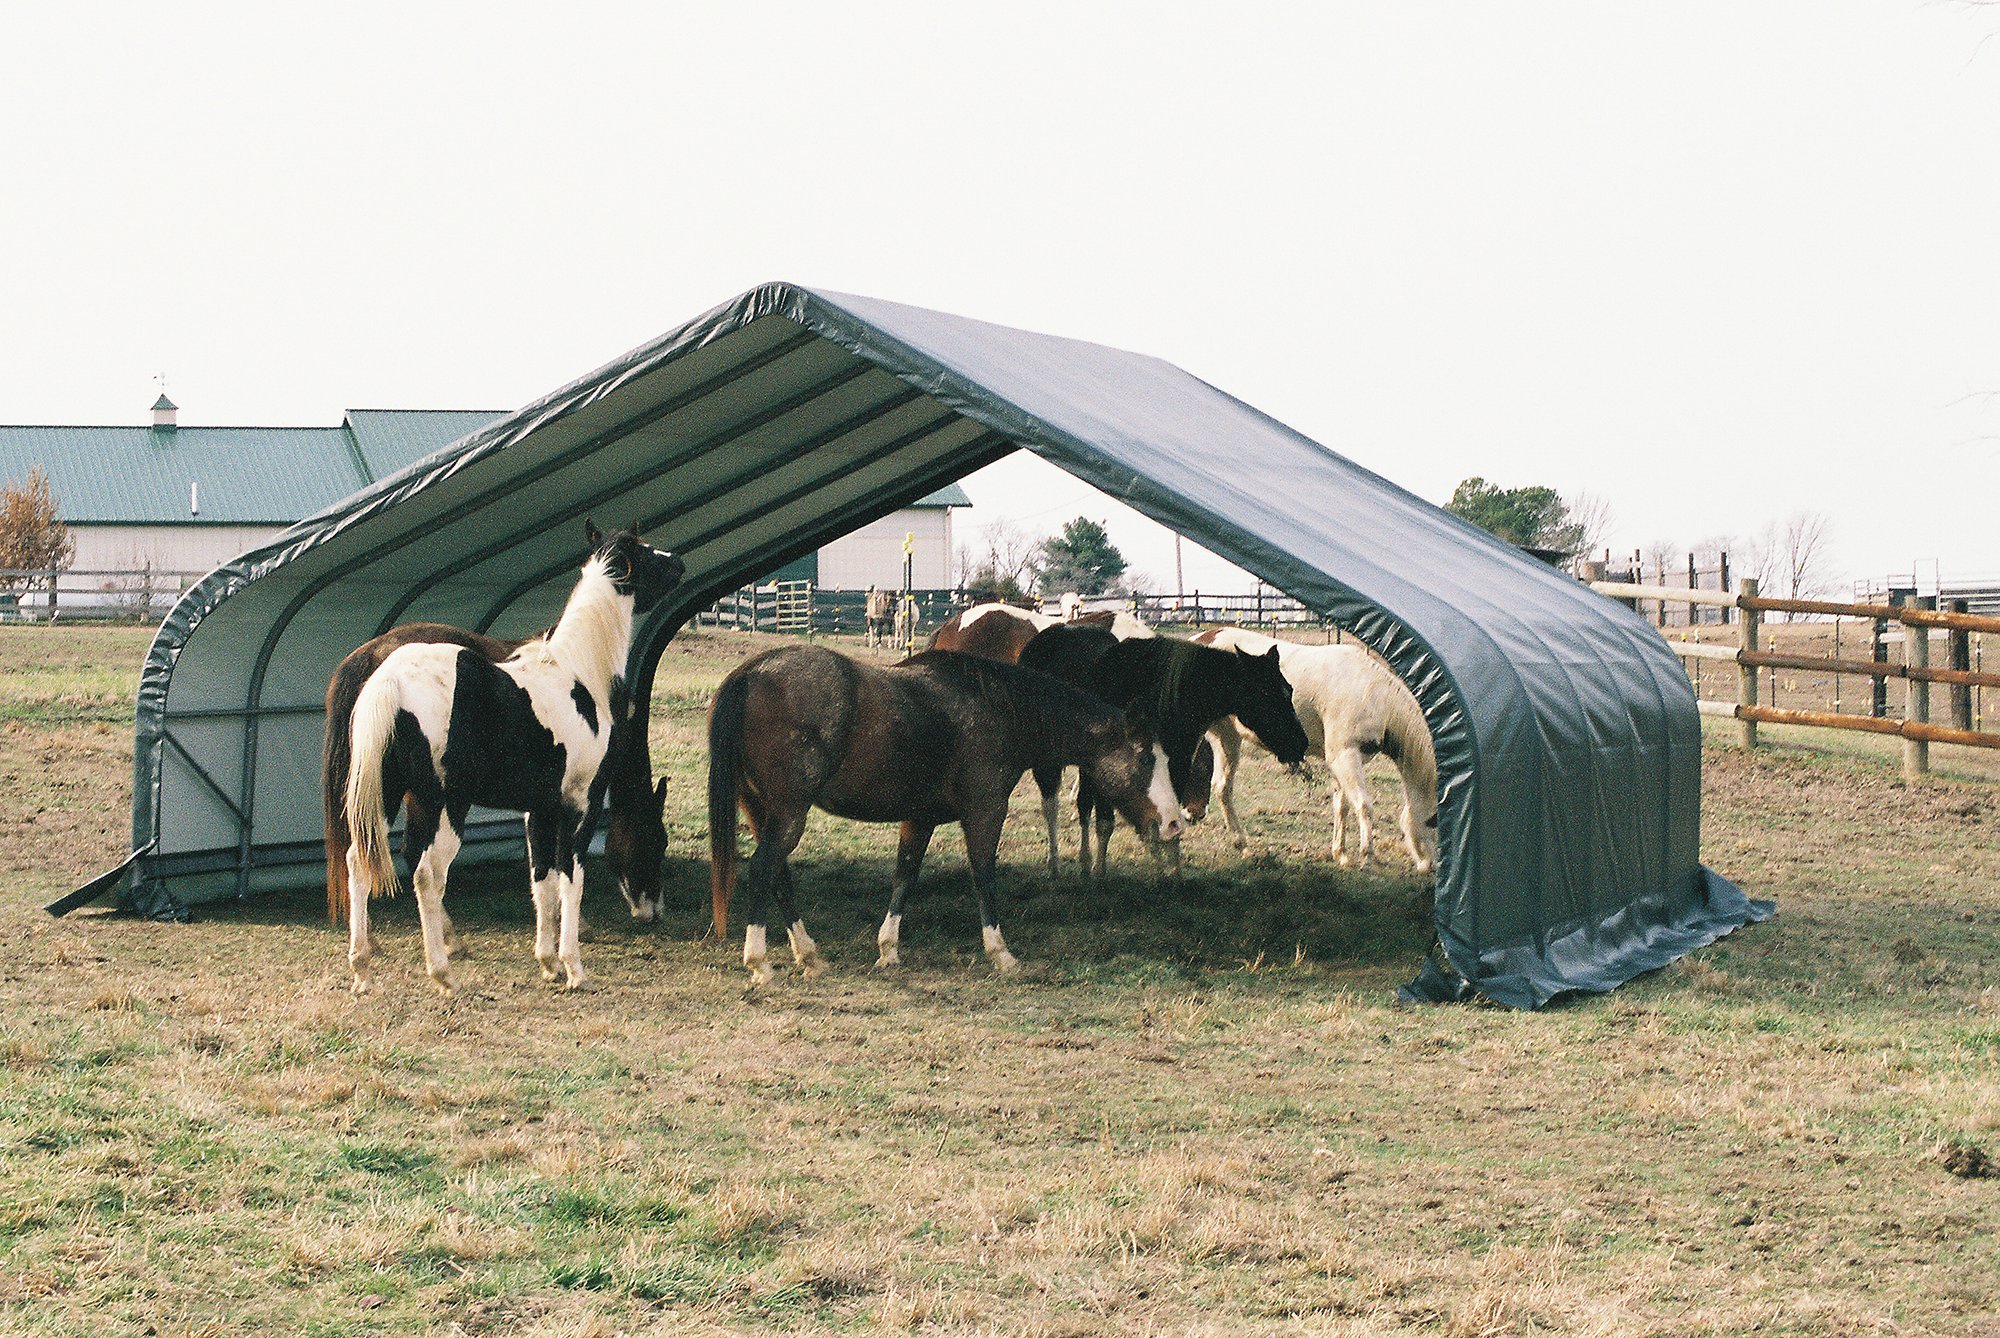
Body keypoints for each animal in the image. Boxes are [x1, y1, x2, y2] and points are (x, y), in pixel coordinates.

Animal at [336, 520, 688, 992]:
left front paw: (548, 961)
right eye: (646, 553)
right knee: (427, 873)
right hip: (444, 804)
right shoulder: (581, 805)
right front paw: (574, 967)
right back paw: (443, 972)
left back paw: (362, 969)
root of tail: (388, 678)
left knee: (359, 862)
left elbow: (542, 880)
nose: (679, 563)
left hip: (390, 795)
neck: (578, 674)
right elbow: (571, 879)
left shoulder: (539, 809)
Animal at [704, 640, 1176, 988]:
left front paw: (888, 950)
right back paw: (760, 962)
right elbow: (983, 875)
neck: (999, 709)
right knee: (763, 868)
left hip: (762, 810)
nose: (1173, 823)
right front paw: (1000, 953)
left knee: (777, 875)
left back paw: (809, 955)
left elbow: (905, 876)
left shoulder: (920, 818)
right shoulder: (985, 811)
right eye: (1145, 759)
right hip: (788, 812)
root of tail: (751, 674)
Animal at [1184, 628, 1440, 876]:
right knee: (1219, 786)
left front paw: (1342, 855)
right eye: (1434, 820)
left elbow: (1341, 806)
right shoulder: (1345, 756)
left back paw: (1242, 846)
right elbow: (1363, 805)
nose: (1431, 865)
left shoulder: (1342, 761)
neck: (1373, 696)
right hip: (1221, 735)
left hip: (1229, 737)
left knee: (1222, 787)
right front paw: (1367, 858)